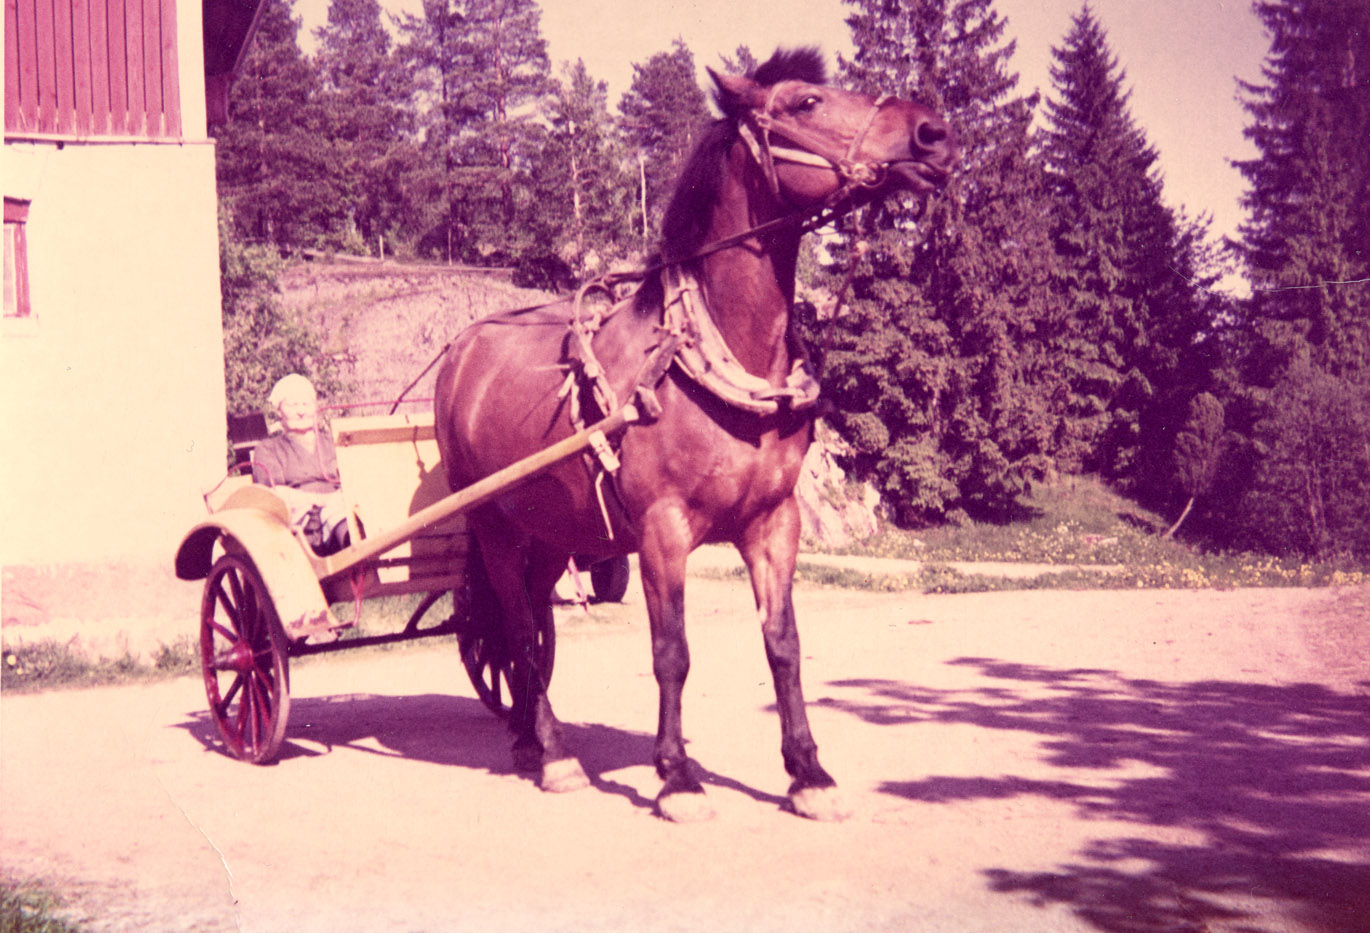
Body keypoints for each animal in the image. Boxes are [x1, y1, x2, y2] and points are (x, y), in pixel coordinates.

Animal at [435, 47, 957, 822]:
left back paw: (529, 739)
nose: (932, 133)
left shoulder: (773, 522)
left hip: (551, 530)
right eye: (805, 102)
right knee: (518, 629)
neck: (707, 354)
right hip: (495, 525)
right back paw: (555, 756)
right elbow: (671, 652)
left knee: (525, 623)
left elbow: (783, 644)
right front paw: (676, 775)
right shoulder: (663, 530)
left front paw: (808, 772)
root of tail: (461, 355)